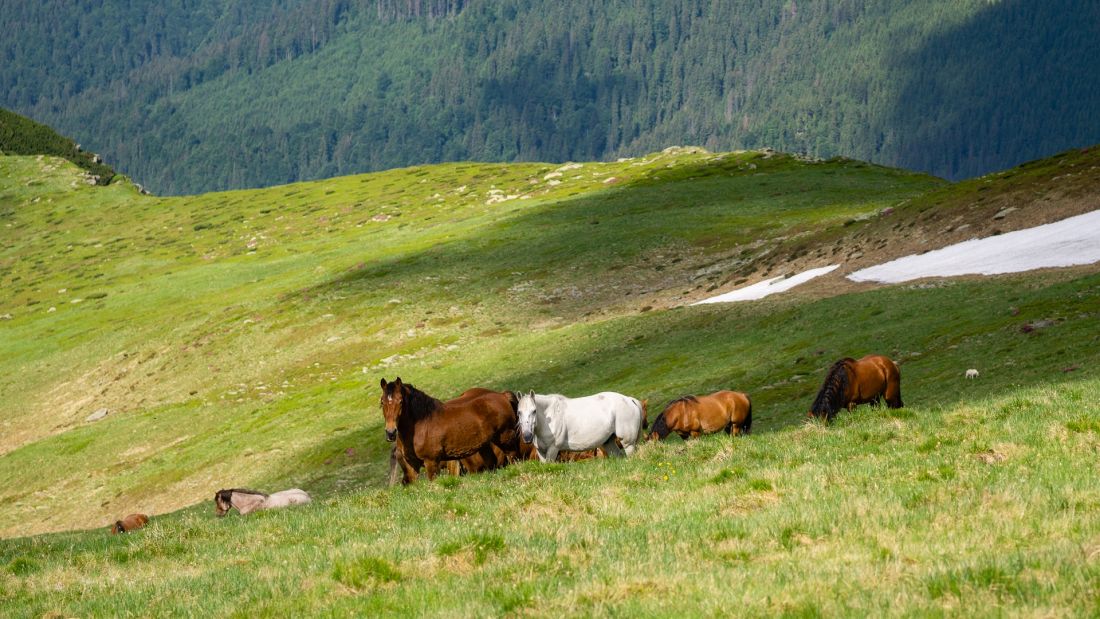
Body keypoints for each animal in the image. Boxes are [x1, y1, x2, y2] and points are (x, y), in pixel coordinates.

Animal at [378, 378, 519, 483]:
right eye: (382, 402)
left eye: (401, 401)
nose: (391, 433)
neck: (421, 424)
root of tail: (502, 395)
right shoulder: (411, 466)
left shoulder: (431, 462)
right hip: (485, 446)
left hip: (506, 438)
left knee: (513, 457)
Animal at [514, 389, 642, 461]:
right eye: (519, 412)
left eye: (534, 411)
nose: (527, 436)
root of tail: (630, 400)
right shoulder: (541, 452)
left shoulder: (553, 449)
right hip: (608, 443)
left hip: (628, 444)